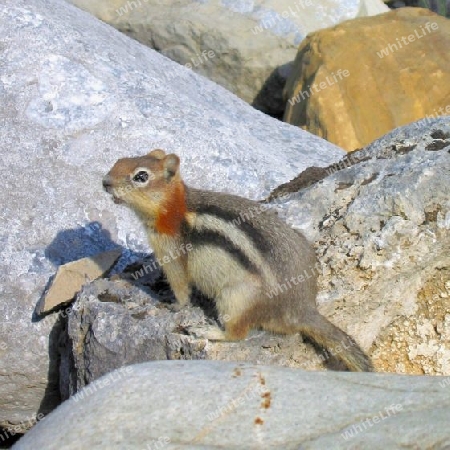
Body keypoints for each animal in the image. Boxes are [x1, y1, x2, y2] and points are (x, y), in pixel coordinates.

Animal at [103, 149, 372, 370]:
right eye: (119, 161)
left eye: (141, 176)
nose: (105, 182)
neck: (173, 208)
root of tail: (302, 309)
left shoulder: (171, 252)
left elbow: (180, 286)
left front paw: (172, 305)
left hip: (236, 298)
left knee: (238, 334)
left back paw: (208, 330)